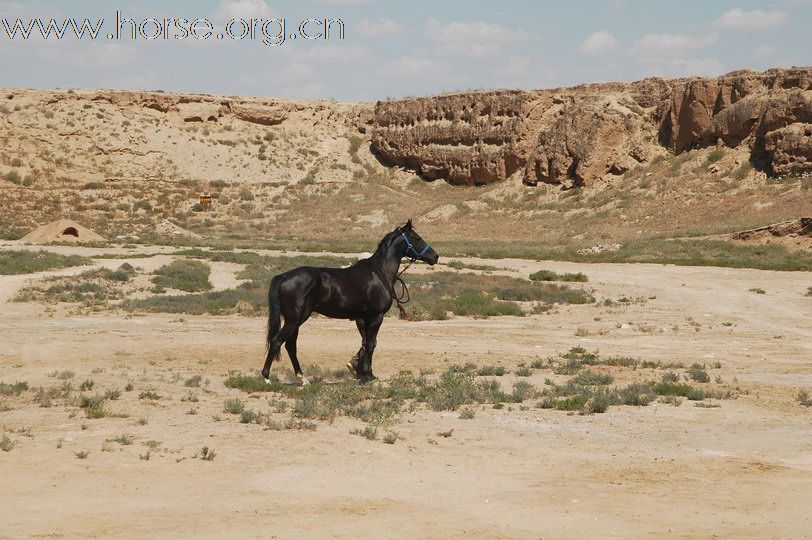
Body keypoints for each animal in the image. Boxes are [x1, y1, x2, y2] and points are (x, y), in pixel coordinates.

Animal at [262, 219, 438, 384]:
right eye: (417, 237)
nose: (435, 256)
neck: (379, 272)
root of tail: (282, 277)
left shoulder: (363, 318)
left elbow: (366, 343)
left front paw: (362, 373)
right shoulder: (376, 316)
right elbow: (371, 344)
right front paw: (368, 376)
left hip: (296, 321)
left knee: (290, 346)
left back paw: (303, 378)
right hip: (294, 320)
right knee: (277, 342)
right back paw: (266, 377)